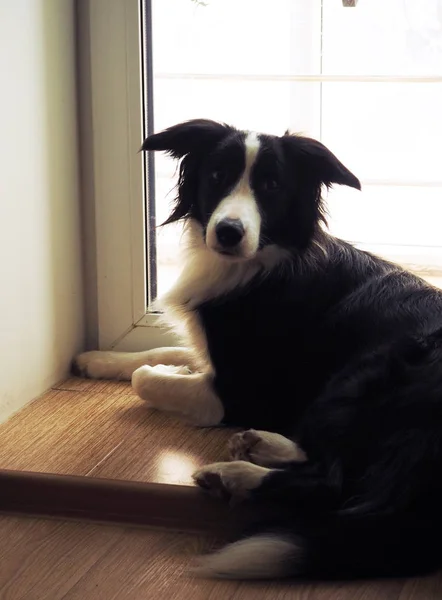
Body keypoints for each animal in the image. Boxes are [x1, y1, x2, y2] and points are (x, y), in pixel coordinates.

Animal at [74, 118, 442, 580]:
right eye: (217, 175)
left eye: (271, 185)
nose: (229, 232)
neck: (258, 263)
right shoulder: (218, 354)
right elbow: (159, 354)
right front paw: (97, 359)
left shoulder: (238, 392)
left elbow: (147, 379)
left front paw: (167, 375)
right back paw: (261, 446)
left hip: (359, 376)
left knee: (333, 481)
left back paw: (235, 474)